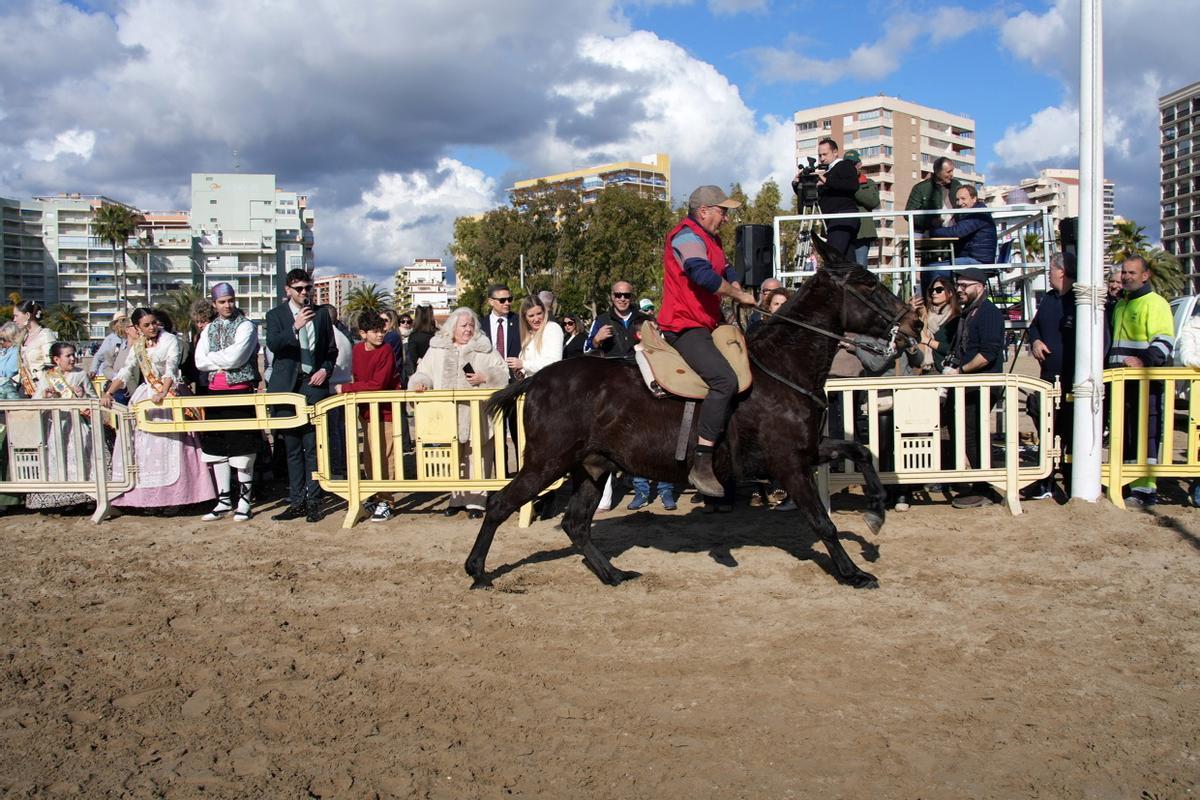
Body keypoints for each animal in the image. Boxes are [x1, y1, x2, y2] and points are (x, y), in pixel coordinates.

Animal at [466, 236, 923, 590]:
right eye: (868, 283)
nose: (915, 324)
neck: (782, 366)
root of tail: (537, 379)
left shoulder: (807, 451)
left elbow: (861, 451)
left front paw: (876, 511)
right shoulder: (790, 465)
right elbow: (822, 522)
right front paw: (852, 572)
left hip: (592, 467)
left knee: (576, 524)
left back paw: (613, 574)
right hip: (547, 462)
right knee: (501, 504)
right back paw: (478, 571)